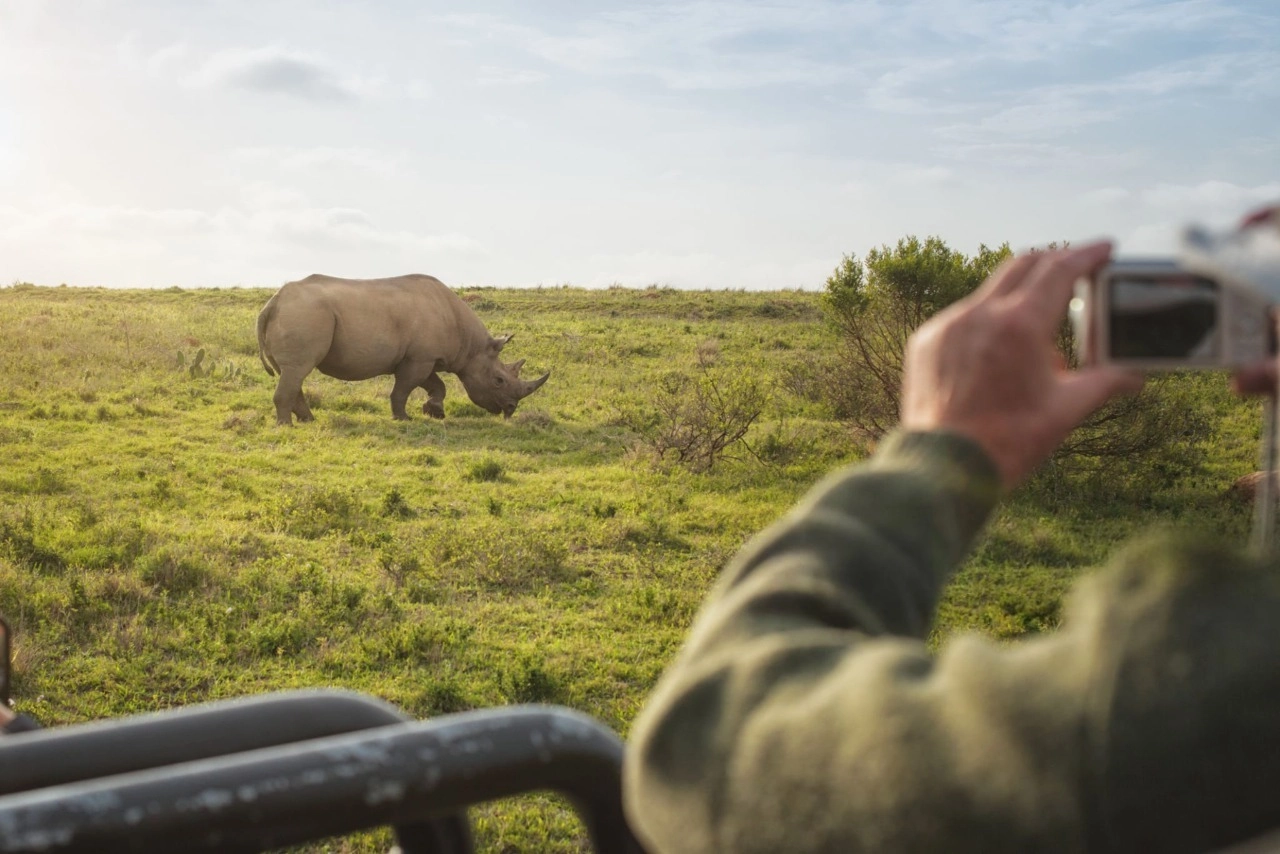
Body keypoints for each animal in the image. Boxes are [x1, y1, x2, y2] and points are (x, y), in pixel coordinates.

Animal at [256, 273, 549, 425]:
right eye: (499, 380)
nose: (510, 409)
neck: (470, 346)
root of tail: (272, 303)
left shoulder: (424, 357)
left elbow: (436, 384)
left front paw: (434, 412)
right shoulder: (419, 359)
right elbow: (404, 389)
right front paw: (404, 418)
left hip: (300, 314)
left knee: (293, 372)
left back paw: (309, 420)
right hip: (305, 314)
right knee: (297, 369)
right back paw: (287, 426)